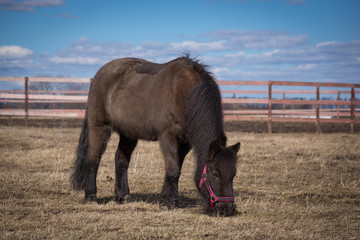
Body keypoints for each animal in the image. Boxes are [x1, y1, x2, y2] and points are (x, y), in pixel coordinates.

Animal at [69, 55, 239, 217]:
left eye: (233, 174)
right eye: (215, 174)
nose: (226, 209)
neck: (185, 93)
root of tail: (99, 74)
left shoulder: (185, 142)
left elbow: (177, 170)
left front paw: (168, 200)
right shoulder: (167, 135)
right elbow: (173, 169)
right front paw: (169, 203)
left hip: (129, 133)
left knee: (121, 160)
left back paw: (122, 196)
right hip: (99, 127)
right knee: (93, 159)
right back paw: (91, 197)